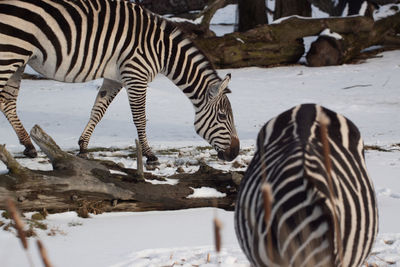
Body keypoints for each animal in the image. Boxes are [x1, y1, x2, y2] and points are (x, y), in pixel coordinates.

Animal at [0, 0, 241, 163]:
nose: (235, 154)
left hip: (19, 58)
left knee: (8, 101)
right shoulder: (136, 75)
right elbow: (140, 118)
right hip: (11, 52)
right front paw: (150, 155)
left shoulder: (114, 78)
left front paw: (83, 146)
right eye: (222, 117)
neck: (162, 51)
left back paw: (29, 146)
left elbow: (98, 110)